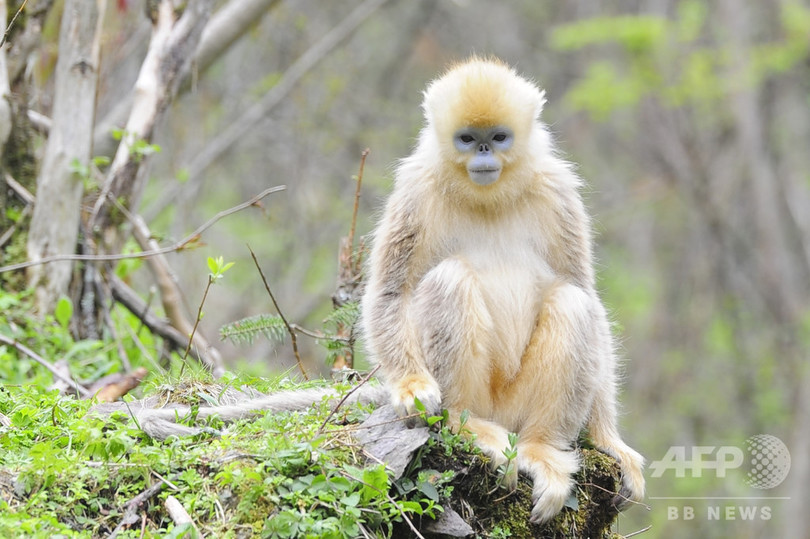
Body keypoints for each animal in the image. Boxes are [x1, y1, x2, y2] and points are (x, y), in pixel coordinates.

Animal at [360, 58, 644, 524]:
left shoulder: (558, 189)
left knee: (574, 302)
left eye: (498, 137)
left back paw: (542, 449)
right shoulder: (416, 190)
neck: (488, 197)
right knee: (449, 280)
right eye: (467, 138)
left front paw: (608, 440)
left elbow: (585, 292)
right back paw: (466, 424)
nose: (483, 153)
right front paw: (412, 386)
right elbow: (391, 292)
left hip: (517, 406)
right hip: (487, 399)